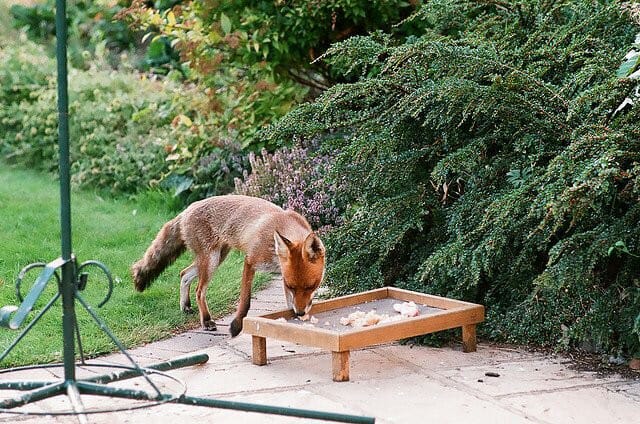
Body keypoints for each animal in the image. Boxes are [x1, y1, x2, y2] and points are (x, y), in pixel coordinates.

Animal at [130, 195, 324, 338]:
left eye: (311, 287)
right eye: (293, 286)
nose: (300, 313)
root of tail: (186, 209)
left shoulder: (283, 273)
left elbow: (288, 300)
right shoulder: (250, 261)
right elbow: (245, 301)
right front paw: (236, 326)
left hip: (216, 258)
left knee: (184, 274)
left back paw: (185, 306)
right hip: (211, 260)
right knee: (199, 291)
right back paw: (206, 320)